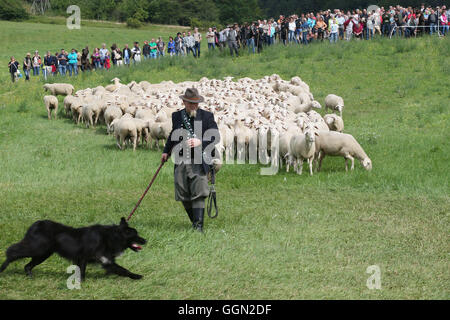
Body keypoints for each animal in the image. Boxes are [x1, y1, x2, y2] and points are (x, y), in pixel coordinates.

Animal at [0, 218, 146, 280]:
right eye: (135, 235)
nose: (146, 240)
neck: (110, 236)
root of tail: (36, 224)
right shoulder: (83, 257)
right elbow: (82, 272)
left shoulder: (106, 261)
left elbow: (123, 270)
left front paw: (136, 276)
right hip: (36, 248)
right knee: (12, 251)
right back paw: (3, 268)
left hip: (43, 254)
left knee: (27, 265)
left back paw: (30, 277)